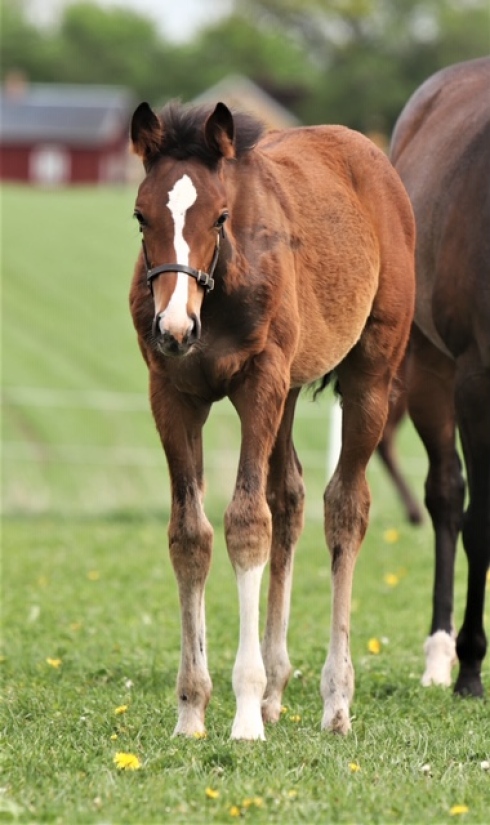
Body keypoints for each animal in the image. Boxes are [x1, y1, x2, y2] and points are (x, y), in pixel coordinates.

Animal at [129, 100, 414, 736]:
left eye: (220, 217)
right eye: (140, 217)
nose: (174, 328)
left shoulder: (260, 382)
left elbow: (245, 524)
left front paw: (242, 718)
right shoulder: (171, 393)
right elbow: (190, 534)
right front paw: (193, 710)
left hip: (369, 378)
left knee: (345, 508)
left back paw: (336, 701)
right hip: (288, 391)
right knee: (290, 498)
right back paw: (278, 689)